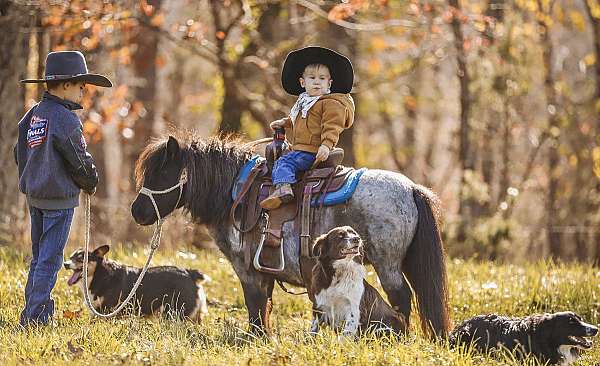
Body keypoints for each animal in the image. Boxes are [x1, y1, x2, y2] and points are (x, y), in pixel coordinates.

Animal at [64, 246, 210, 320]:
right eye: (71, 257)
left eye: (81, 258)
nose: (65, 264)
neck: (99, 275)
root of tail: (189, 273)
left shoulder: (107, 312)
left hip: (175, 312)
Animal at [132, 134, 450, 338]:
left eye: (162, 174)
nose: (137, 212)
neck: (237, 193)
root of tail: (411, 189)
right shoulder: (266, 272)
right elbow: (265, 307)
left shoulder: (247, 270)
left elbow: (255, 307)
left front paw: (257, 339)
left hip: (388, 264)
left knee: (401, 297)